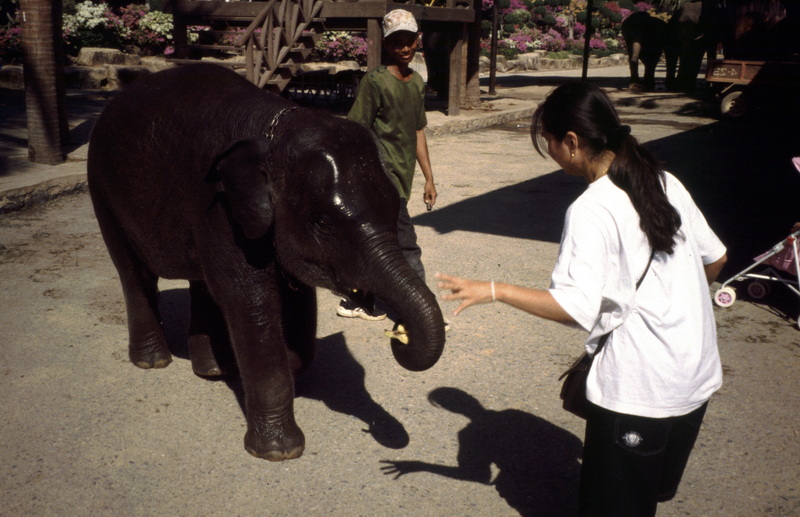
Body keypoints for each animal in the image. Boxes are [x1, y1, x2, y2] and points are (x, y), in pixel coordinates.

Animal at [90, 63, 450, 460]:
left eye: (393, 207)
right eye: (323, 223)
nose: (397, 335)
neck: (274, 127)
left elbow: (297, 299)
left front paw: (291, 370)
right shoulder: (218, 204)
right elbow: (251, 302)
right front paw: (279, 452)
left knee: (201, 280)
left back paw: (213, 370)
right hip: (100, 188)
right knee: (133, 272)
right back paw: (154, 362)